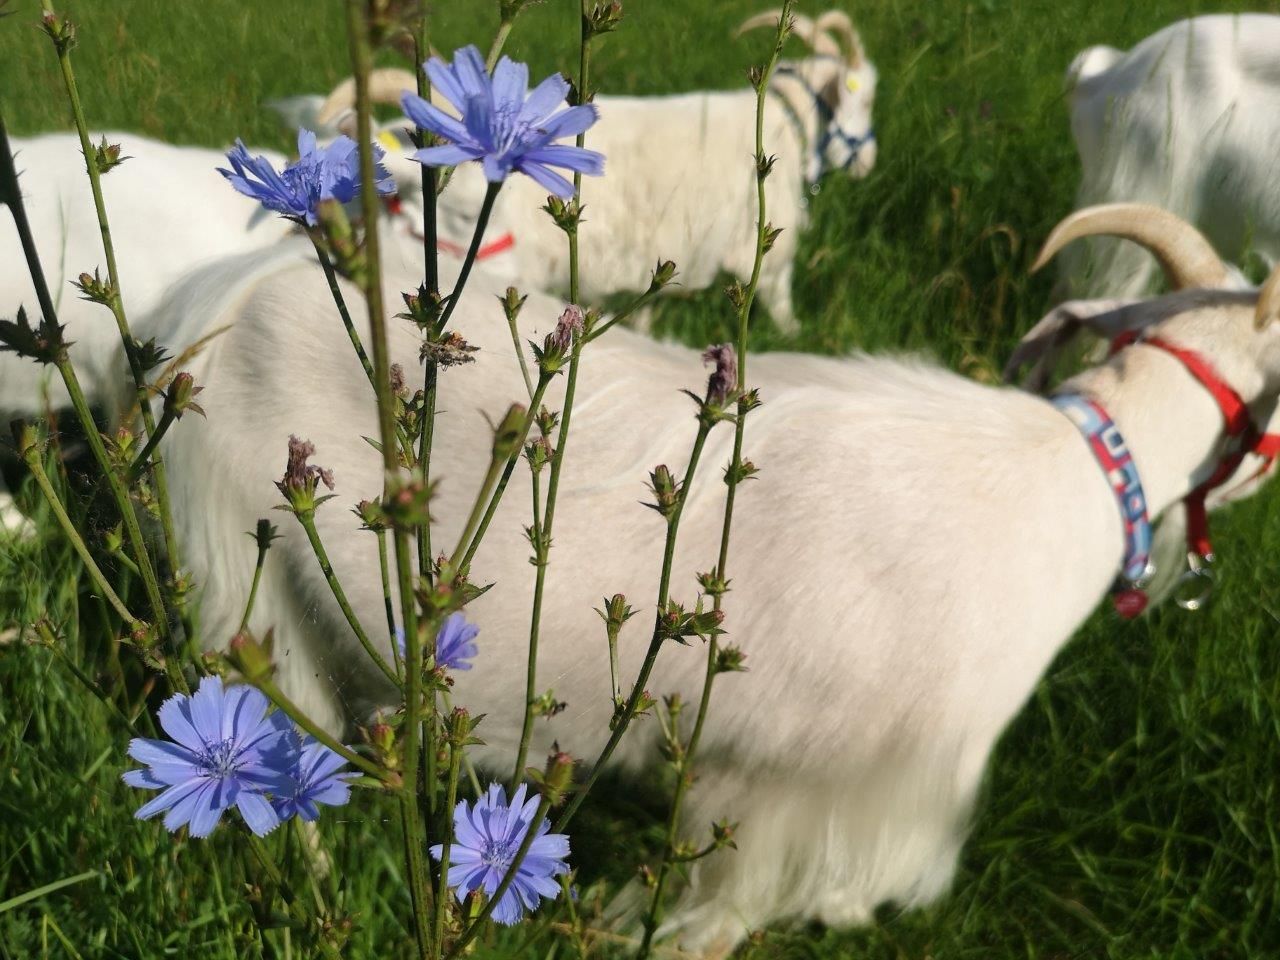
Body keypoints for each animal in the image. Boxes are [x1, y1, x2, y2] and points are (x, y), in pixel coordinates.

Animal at [314, 8, 879, 334]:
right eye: (868, 98)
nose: (868, 163)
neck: (785, 123)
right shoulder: (762, 258)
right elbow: (782, 310)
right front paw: (797, 338)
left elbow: (647, 309)